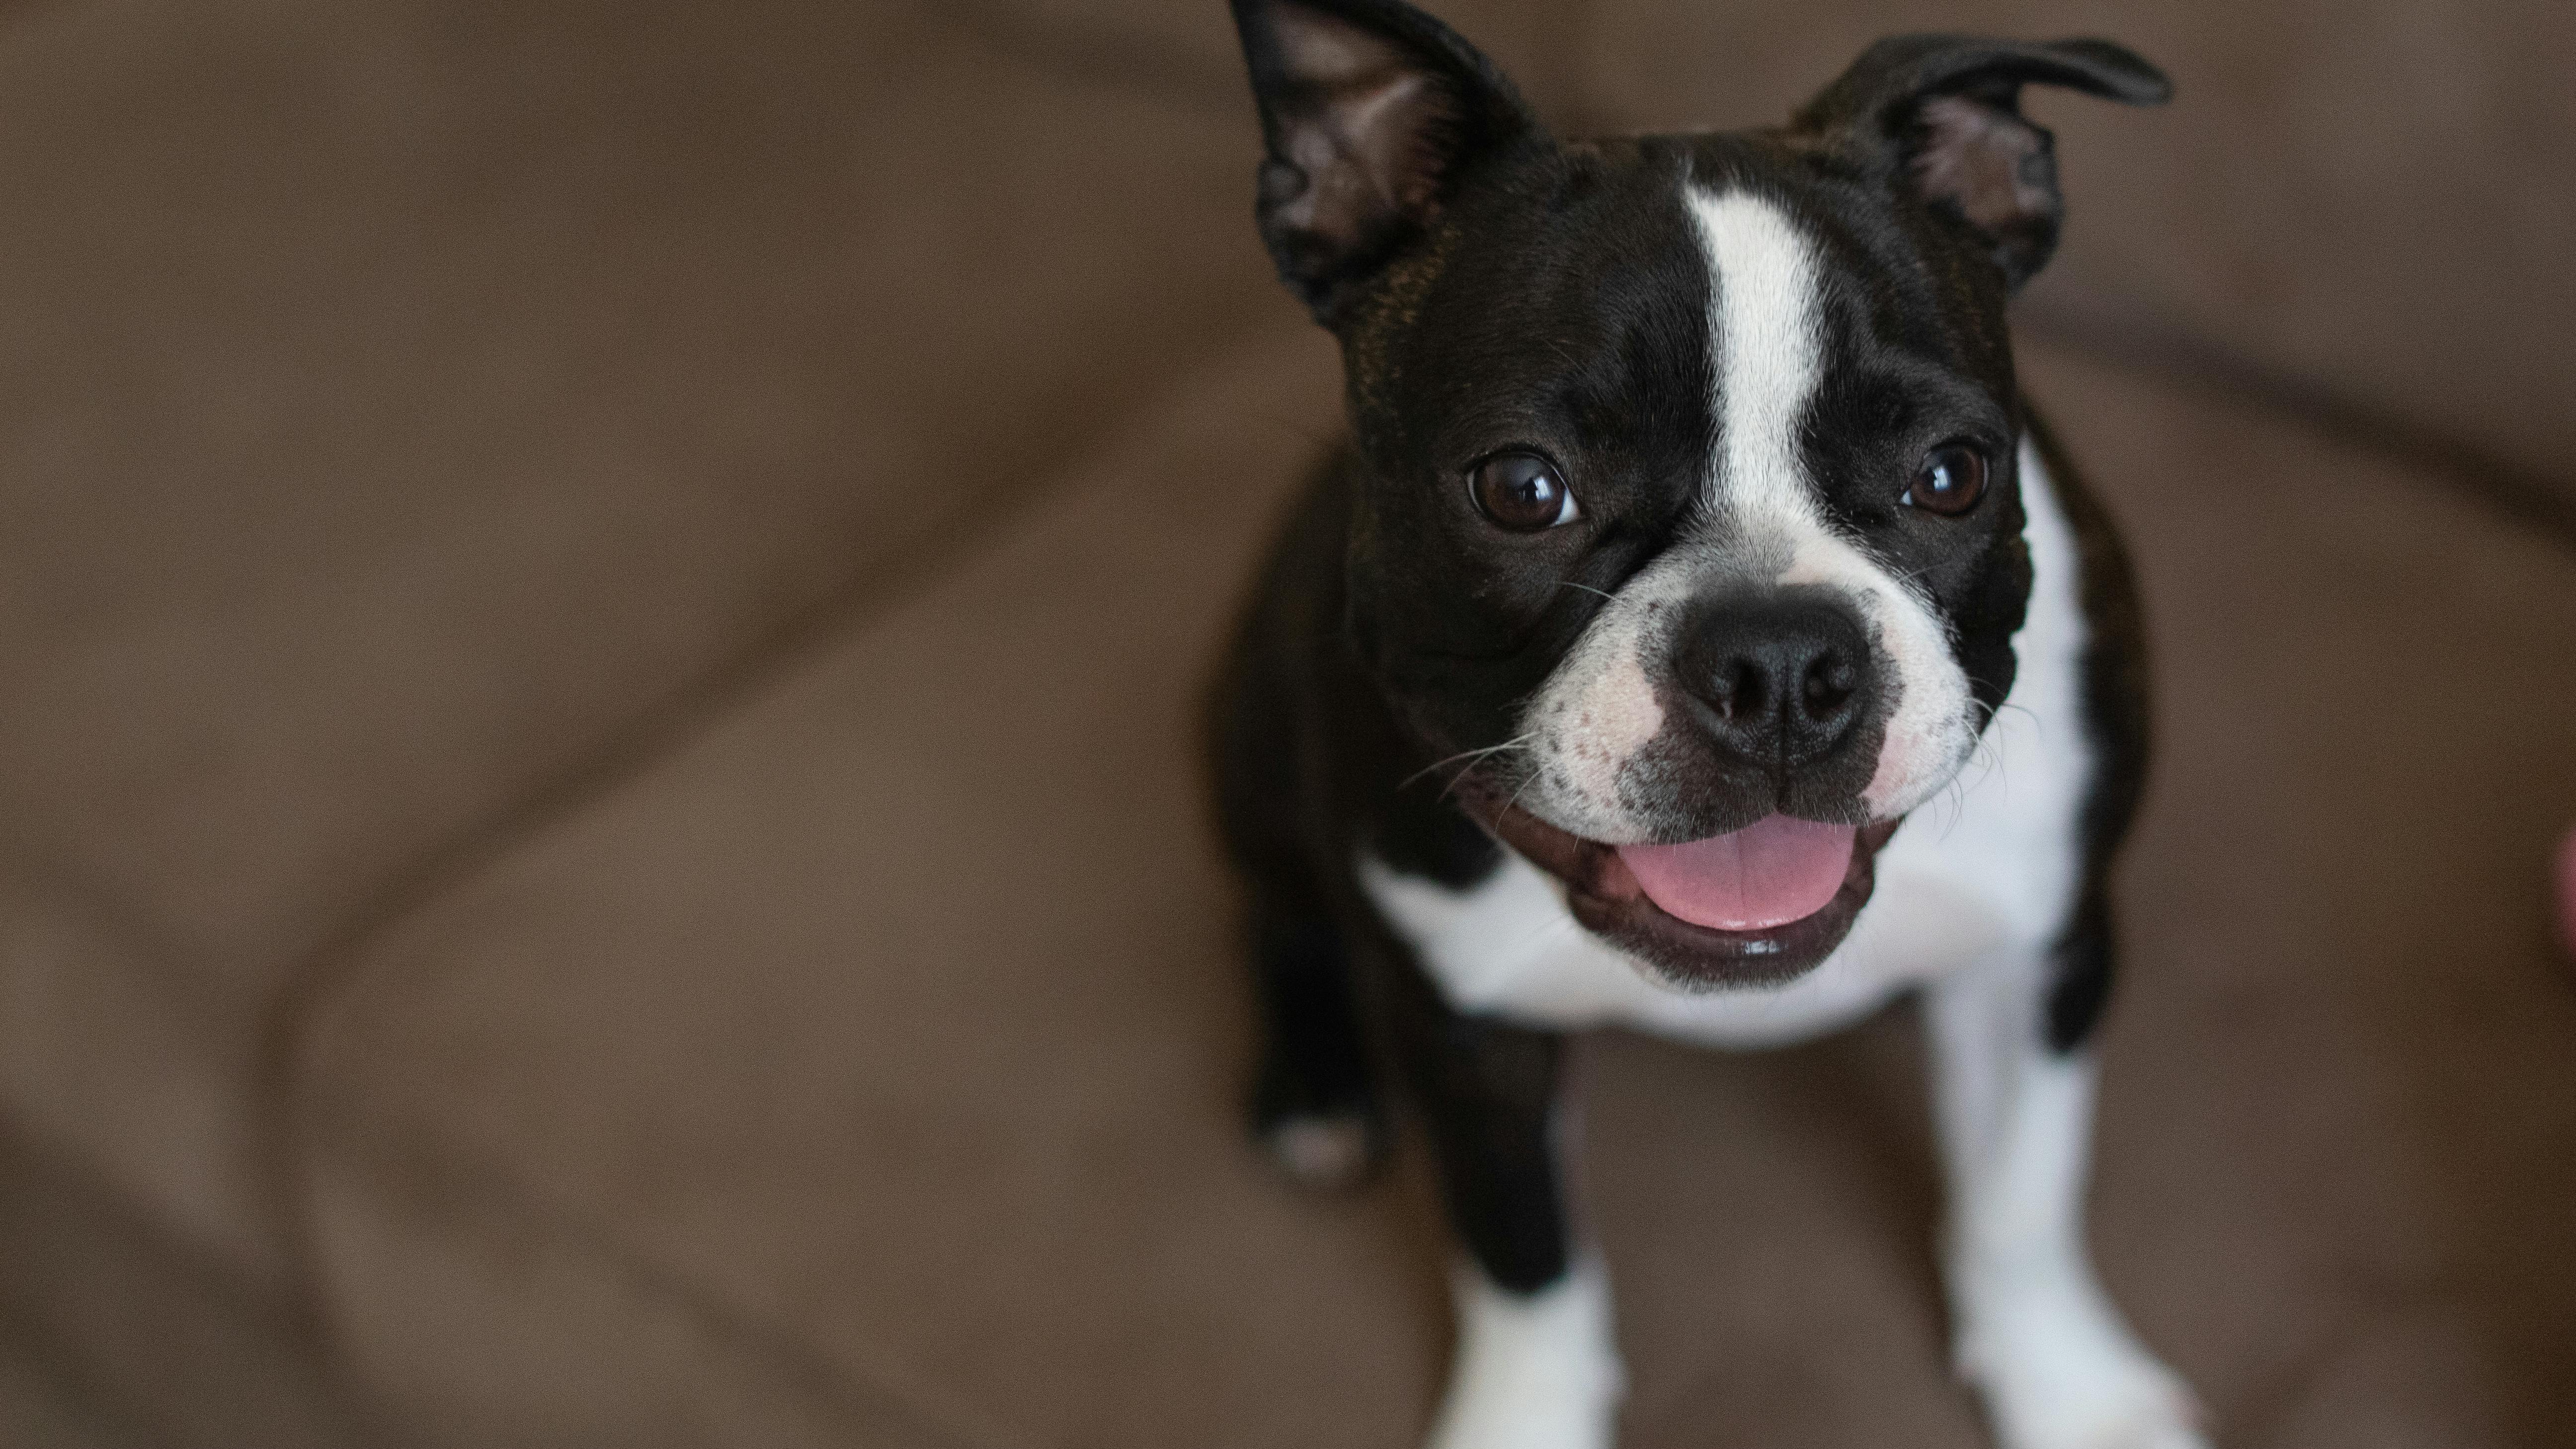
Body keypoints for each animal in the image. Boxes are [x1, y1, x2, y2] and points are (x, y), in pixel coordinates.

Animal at [1206, 2, 2194, 1444]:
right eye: (1522, 489)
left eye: (1952, 474)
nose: (1780, 663)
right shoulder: (1463, 1030)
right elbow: (1522, 1257)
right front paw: (1522, 1419)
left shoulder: (2044, 953)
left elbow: (2019, 1202)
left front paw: (2071, 1391)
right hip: (1250, 741)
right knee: (1279, 912)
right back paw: (1319, 1092)